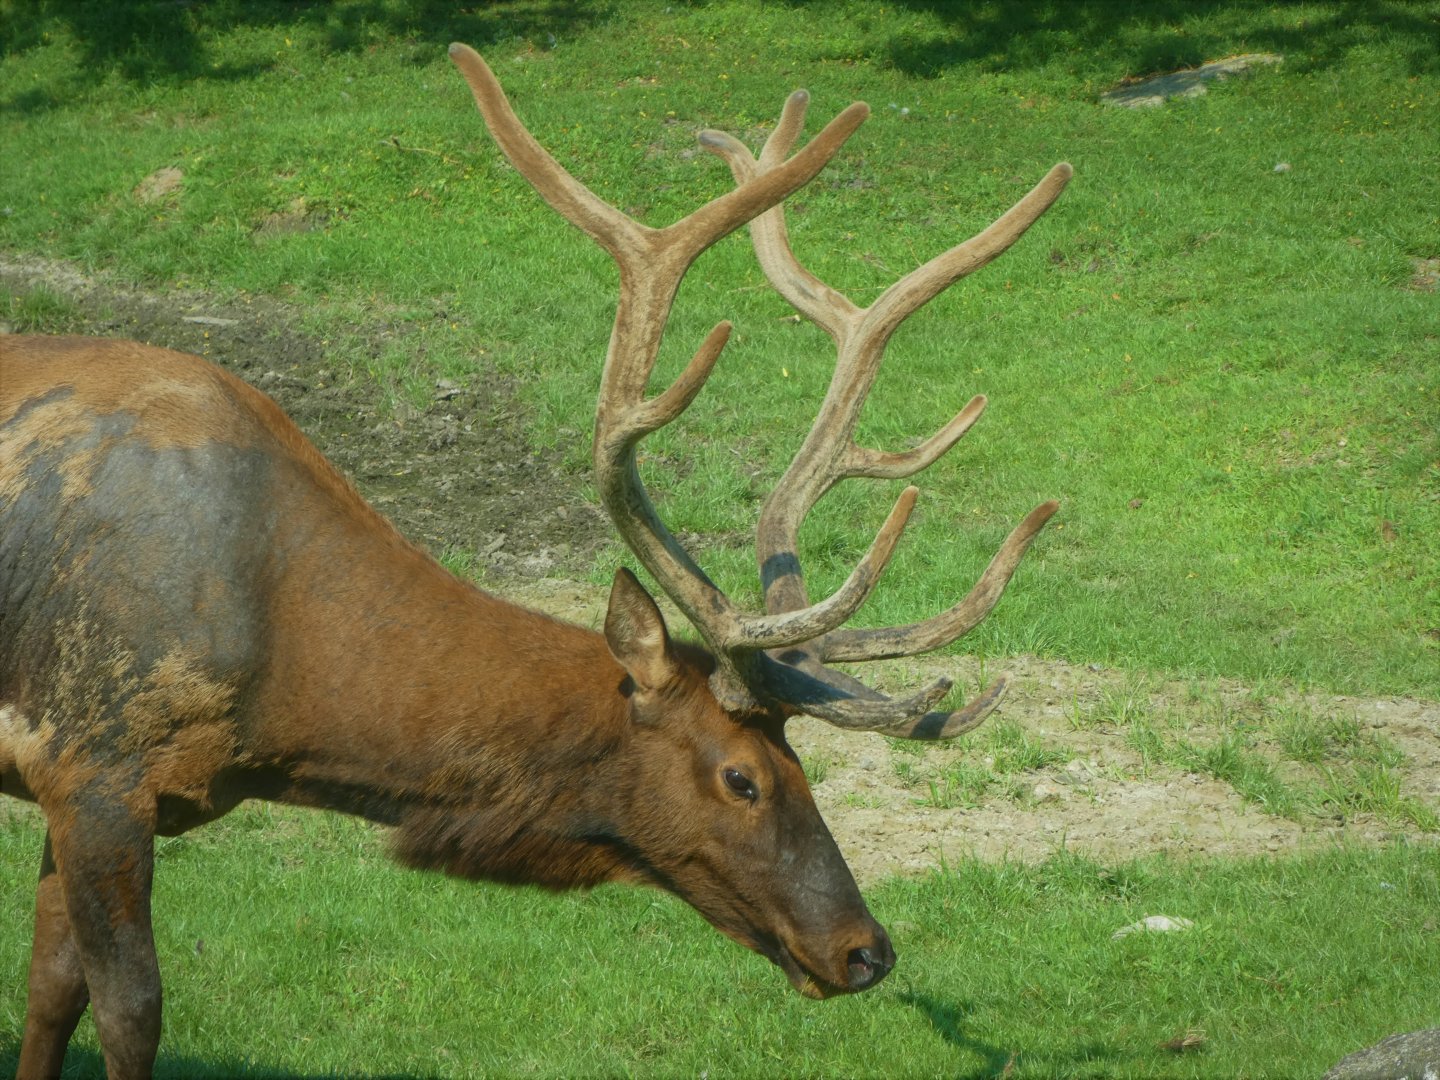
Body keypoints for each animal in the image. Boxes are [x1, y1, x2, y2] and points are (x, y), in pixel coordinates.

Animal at [0, 43, 1070, 1079]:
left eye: (801, 763)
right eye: (742, 778)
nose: (866, 950)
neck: (281, 702)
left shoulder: (78, 788)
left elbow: (48, 992)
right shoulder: (99, 768)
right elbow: (130, 1013)